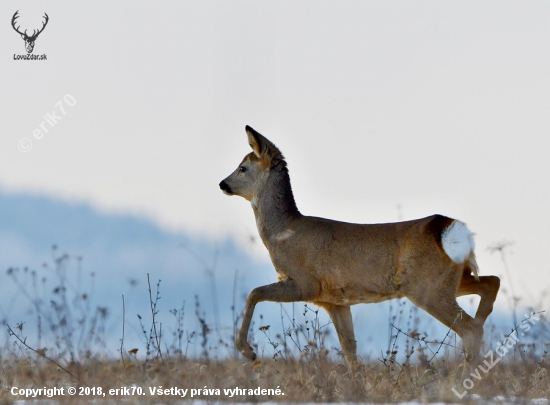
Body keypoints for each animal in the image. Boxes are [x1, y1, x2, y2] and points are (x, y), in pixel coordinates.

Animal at [219, 126, 500, 366]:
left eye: (243, 168)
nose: (223, 184)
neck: (283, 233)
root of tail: (448, 226)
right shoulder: (335, 301)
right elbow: (350, 353)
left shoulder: (305, 282)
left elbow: (254, 293)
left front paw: (248, 351)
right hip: (449, 279)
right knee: (490, 284)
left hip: (426, 287)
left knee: (470, 327)